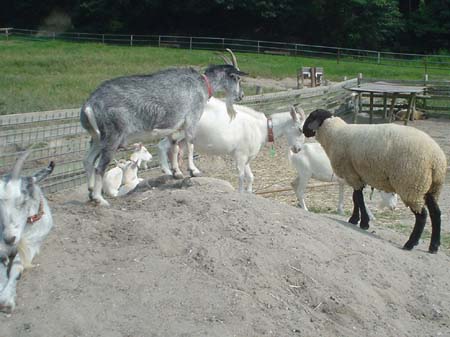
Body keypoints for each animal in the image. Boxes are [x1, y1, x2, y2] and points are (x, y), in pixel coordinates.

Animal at [81, 47, 246, 205]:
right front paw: (194, 171)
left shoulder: (174, 126)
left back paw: (90, 192)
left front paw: (177, 173)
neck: (202, 85)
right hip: (112, 136)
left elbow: (174, 147)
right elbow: (190, 145)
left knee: (88, 160)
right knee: (99, 167)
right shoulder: (191, 119)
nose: (241, 96)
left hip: (97, 138)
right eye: (237, 78)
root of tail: (89, 105)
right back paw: (99, 199)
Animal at [156, 97, 304, 192]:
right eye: (300, 129)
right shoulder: (240, 154)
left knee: (175, 148)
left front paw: (249, 192)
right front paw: (241, 192)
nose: (298, 149)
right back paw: (170, 171)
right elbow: (241, 176)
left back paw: (180, 172)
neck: (261, 127)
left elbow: (250, 177)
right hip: (178, 132)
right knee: (164, 145)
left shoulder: (246, 157)